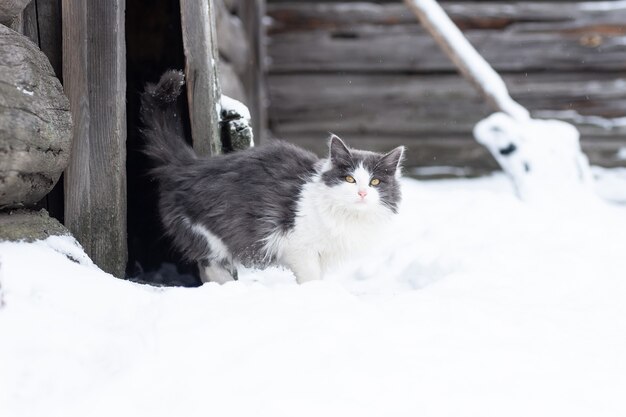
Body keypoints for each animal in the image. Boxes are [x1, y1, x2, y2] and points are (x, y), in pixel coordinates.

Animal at [140, 70, 404, 284]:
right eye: (350, 179)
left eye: (375, 182)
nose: (362, 192)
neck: (348, 218)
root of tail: (190, 164)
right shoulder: (300, 248)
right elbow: (311, 279)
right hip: (207, 233)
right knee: (210, 265)